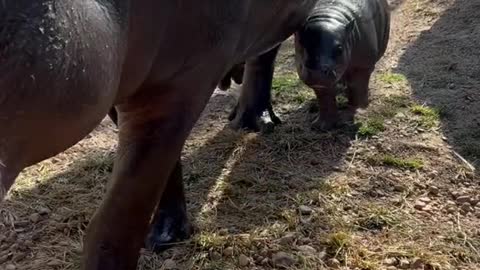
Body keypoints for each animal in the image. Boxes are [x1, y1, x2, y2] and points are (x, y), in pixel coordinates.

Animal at [0, 0, 316, 270]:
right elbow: (164, 166)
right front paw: (163, 238)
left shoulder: (181, 84)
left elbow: (117, 220)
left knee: (264, 56)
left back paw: (256, 122)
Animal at [226, 0, 390, 131]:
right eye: (301, 43)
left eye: (339, 48)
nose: (316, 72)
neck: (328, 16)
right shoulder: (321, 82)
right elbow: (325, 98)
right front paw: (321, 127)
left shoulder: (363, 65)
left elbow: (358, 87)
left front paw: (357, 111)